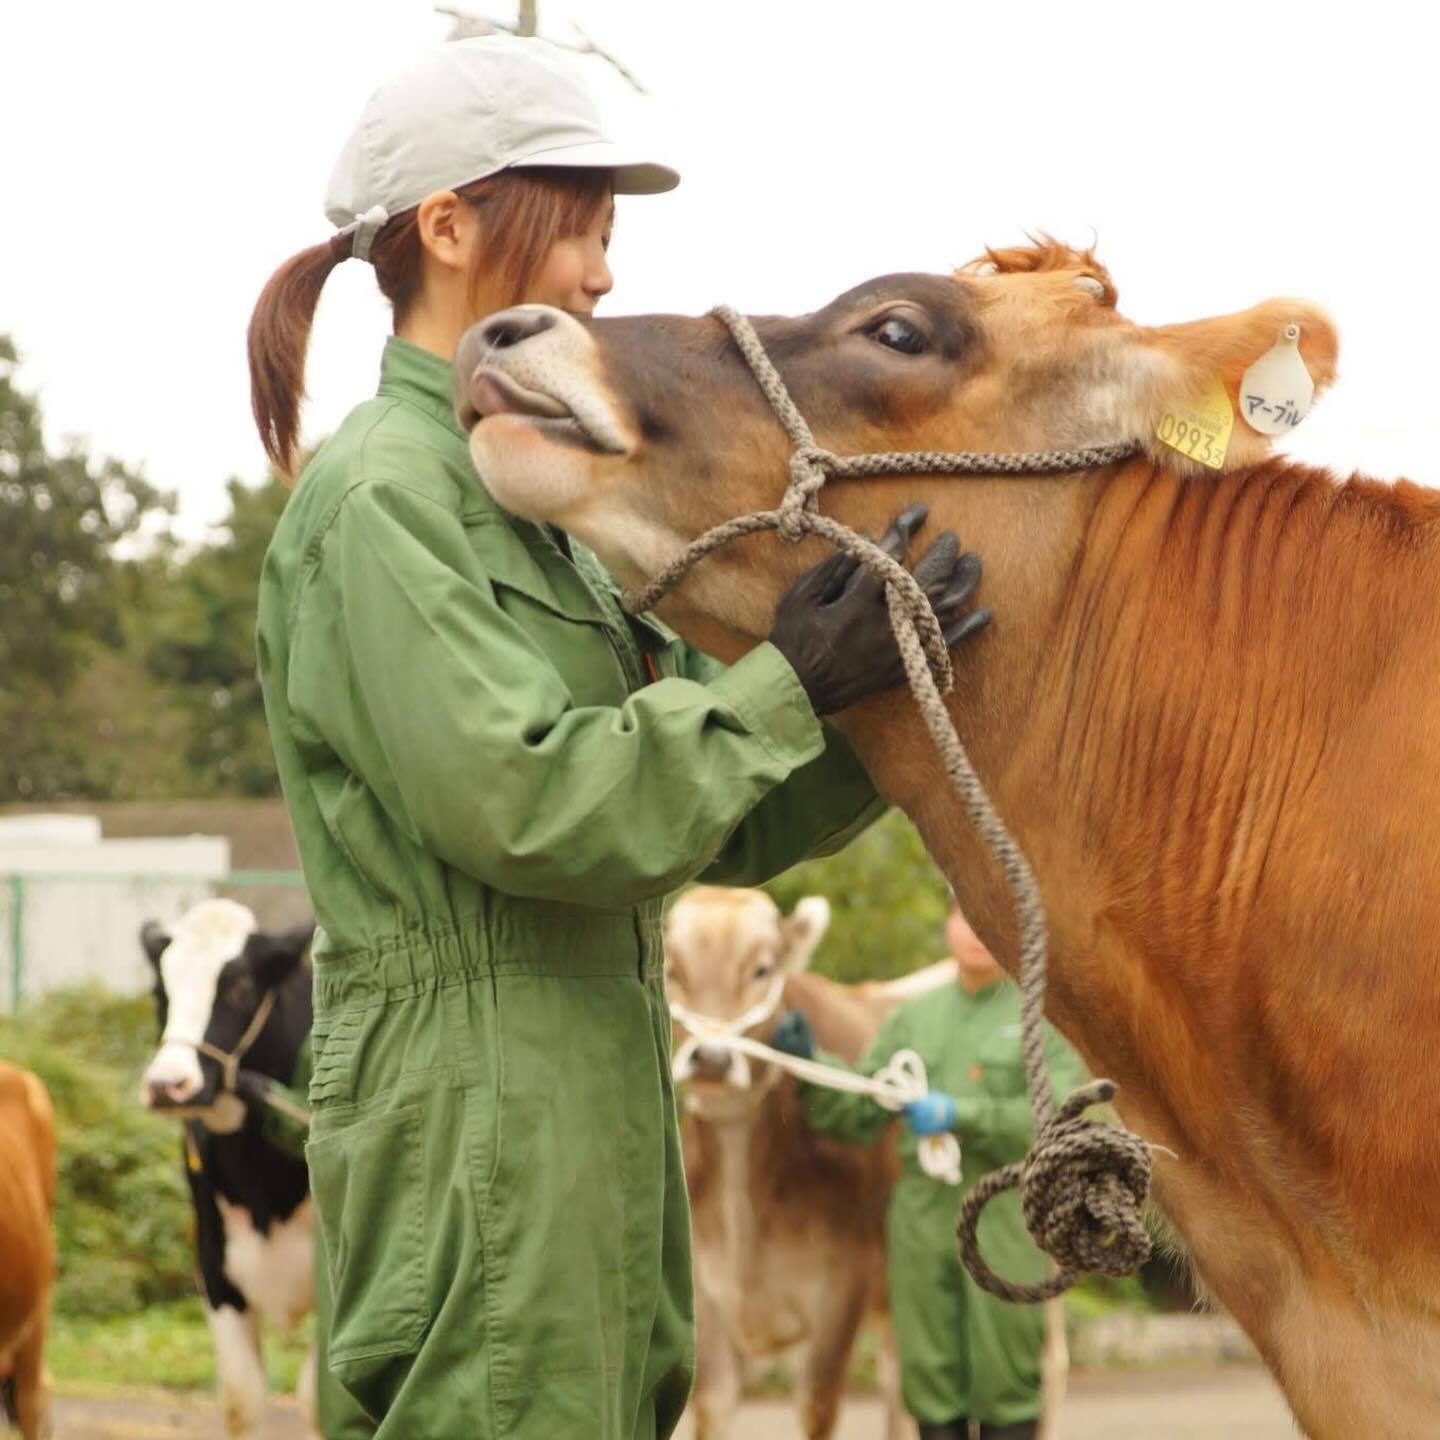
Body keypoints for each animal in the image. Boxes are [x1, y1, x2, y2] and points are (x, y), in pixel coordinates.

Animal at [140, 898, 317, 1439]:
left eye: (239, 987)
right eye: (160, 991)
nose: (167, 1084)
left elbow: (316, 1402)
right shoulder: (215, 1268)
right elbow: (243, 1399)